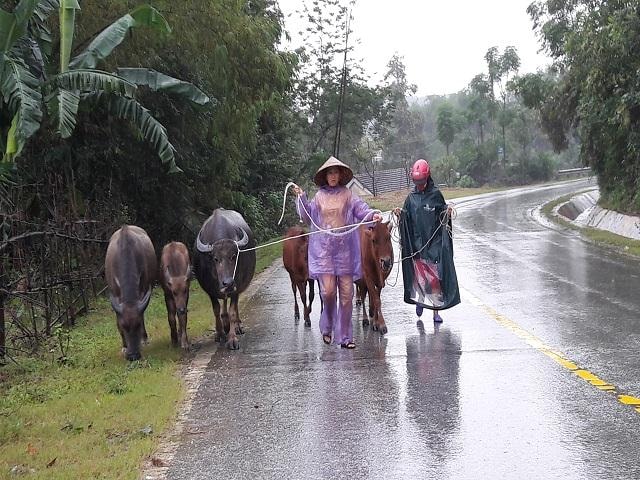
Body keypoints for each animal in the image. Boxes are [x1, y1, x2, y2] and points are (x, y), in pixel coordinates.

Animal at [104, 225, 157, 360]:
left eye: (138, 325)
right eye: (123, 326)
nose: (133, 355)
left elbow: (142, 316)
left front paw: (144, 339)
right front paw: (124, 346)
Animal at [194, 208, 256, 350]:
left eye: (233, 256)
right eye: (216, 259)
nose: (228, 283)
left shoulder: (236, 287)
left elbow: (232, 311)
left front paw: (232, 338)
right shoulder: (210, 290)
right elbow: (216, 310)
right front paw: (220, 333)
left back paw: (237, 326)